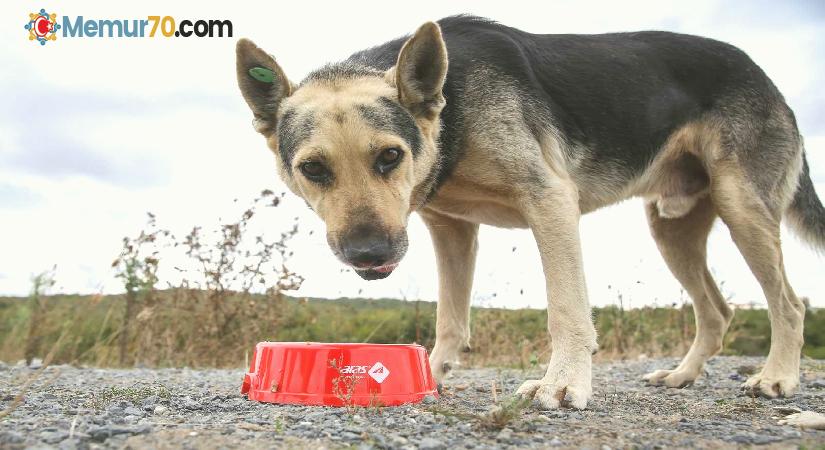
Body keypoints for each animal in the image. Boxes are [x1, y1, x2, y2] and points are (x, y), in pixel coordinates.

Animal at [233, 14, 824, 408]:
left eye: (389, 157)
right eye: (313, 169)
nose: (367, 254)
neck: (450, 111)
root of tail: (765, 77)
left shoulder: (551, 203)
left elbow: (566, 309)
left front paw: (563, 383)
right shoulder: (451, 229)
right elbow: (450, 317)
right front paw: (433, 375)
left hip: (741, 208)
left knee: (790, 304)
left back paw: (777, 377)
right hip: (671, 227)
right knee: (718, 311)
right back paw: (681, 376)